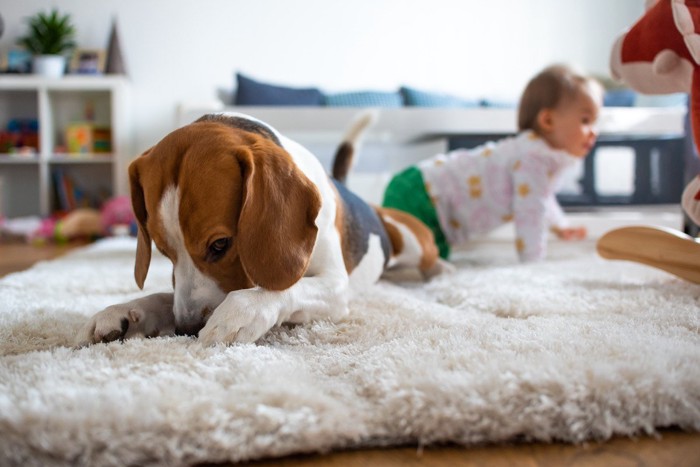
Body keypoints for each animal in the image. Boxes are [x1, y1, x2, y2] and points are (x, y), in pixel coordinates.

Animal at [76, 112, 448, 348]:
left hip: (411, 240)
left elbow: (284, 287)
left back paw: (441, 271)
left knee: (428, 257)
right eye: (163, 251)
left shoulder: (336, 287)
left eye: (221, 244)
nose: (187, 328)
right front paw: (124, 312)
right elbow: (164, 296)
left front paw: (241, 311)